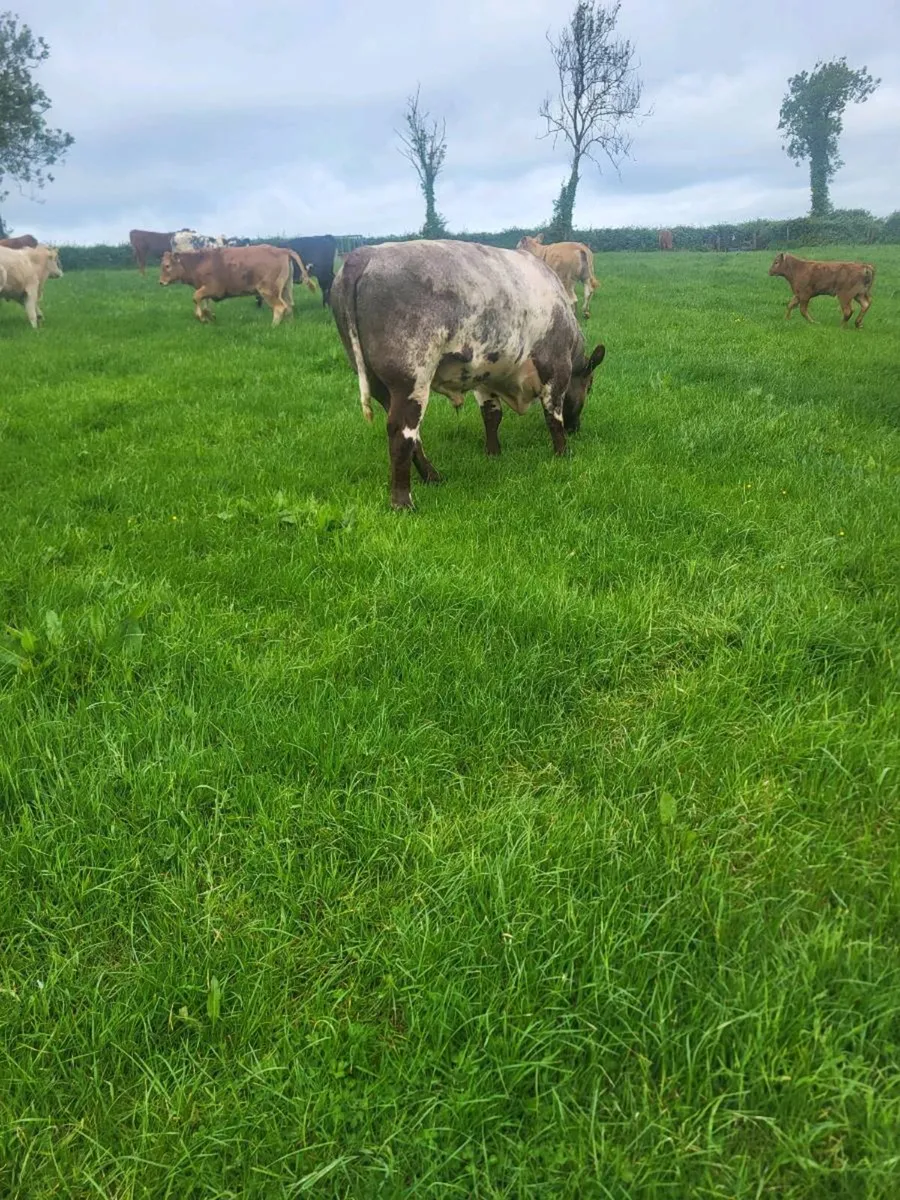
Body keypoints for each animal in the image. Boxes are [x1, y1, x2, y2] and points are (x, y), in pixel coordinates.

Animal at [158, 244, 315, 324]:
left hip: (267, 290)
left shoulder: (213, 288)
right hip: (285, 289)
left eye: (167, 266)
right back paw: (288, 324)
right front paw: (209, 315)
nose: (161, 282)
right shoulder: (206, 289)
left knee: (280, 307)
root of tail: (282, 250)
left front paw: (202, 317)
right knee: (289, 306)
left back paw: (273, 326)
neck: (198, 262)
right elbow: (205, 302)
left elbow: (196, 297)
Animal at [330, 239, 606, 510]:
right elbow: (553, 416)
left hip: (379, 383)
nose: (575, 428)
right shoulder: (556, 368)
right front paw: (563, 453)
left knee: (414, 436)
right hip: (411, 380)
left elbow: (492, 416)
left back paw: (432, 476)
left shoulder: (485, 377)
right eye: (589, 385)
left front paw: (493, 453)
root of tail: (364, 255)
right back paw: (403, 502)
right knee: (401, 434)